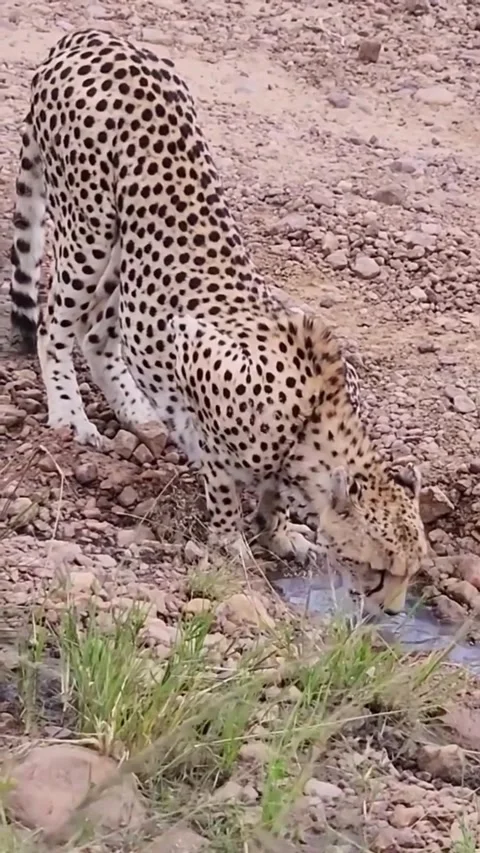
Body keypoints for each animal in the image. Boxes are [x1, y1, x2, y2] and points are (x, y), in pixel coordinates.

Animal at [10, 29, 428, 613]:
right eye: (380, 568)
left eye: (416, 572)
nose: (391, 611)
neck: (316, 423)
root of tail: (96, 36)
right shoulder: (196, 357)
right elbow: (222, 480)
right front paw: (234, 545)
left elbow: (274, 494)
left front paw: (281, 532)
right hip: (89, 227)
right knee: (54, 324)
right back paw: (71, 414)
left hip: (124, 248)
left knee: (98, 331)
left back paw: (134, 409)